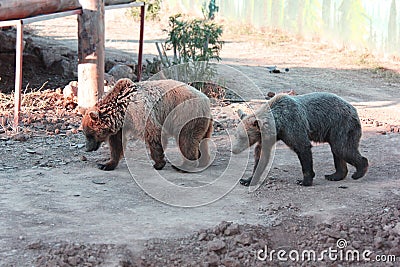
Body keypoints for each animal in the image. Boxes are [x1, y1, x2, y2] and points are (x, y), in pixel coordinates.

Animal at [81, 78, 212, 172]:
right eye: (86, 134)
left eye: (90, 134)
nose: (87, 148)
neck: (121, 111)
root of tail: (207, 101)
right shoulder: (120, 126)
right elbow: (116, 144)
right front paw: (105, 164)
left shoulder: (139, 111)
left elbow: (153, 133)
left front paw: (158, 163)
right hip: (202, 123)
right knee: (202, 141)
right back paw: (203, 161)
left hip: (186, 115)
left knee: (186, 139)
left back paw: (184, 166)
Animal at [231, 93, 368, 187]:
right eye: (236, 135)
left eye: (243, 137)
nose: (234, 150)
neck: (277, 124)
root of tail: (354, 109)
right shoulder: (268, 138)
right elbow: (261, 156)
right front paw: (247, 180)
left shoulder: (292, 125)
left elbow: (302, 148)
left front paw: (304, 180)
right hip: (334, 130)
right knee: (337, 151)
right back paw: (334, 175)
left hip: (341, 125)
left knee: (342, 148)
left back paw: (358, 172)